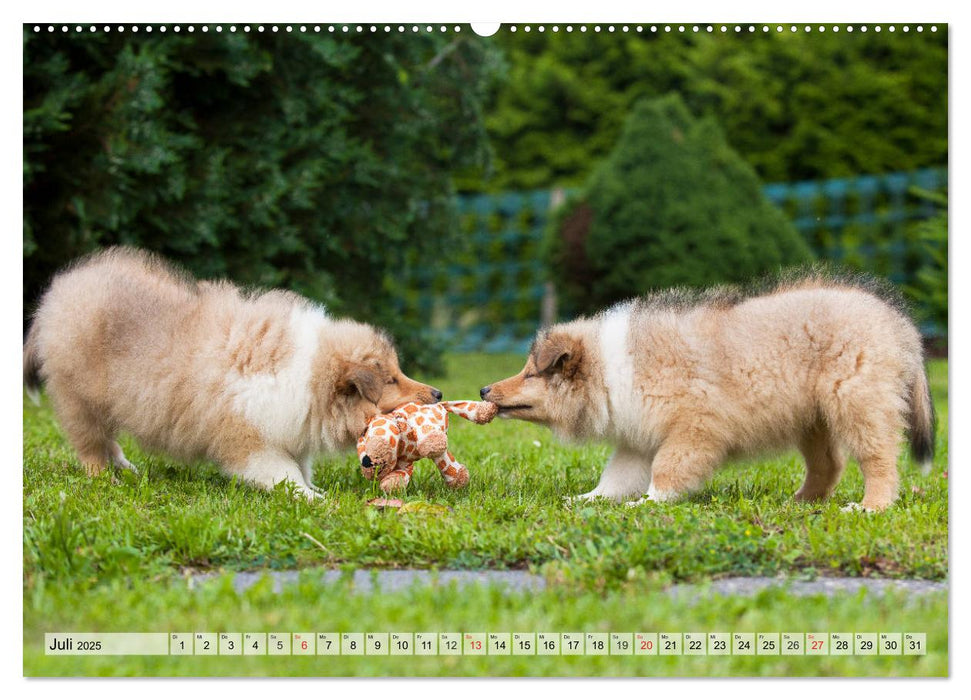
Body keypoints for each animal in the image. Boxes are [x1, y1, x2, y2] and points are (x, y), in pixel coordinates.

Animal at [21, 246, 440, 498]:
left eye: (399, 370)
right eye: (390, 379)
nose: (437, 394)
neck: (308, 373)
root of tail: (57, 293)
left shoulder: (290, 427)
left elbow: (302, 466)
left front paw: (316, 491)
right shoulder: (250, 440)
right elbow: (284, 473)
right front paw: (311, 500)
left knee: (109, 443)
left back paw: (127, 469)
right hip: (78, 398)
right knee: (91, 444)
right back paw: (103, 479)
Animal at [482, 274, 936, 516]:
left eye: (530, 373)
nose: (484, 388)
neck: (613, 370)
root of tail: (901, 327)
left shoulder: (695, 428)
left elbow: (667, 470)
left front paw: (648, 504)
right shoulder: (637, 440)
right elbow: (615, 477)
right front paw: (586, 499)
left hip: (858, 402)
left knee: (879, 460)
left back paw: (871, 506)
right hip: (812, 417)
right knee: (828, 464)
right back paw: (801, 501)